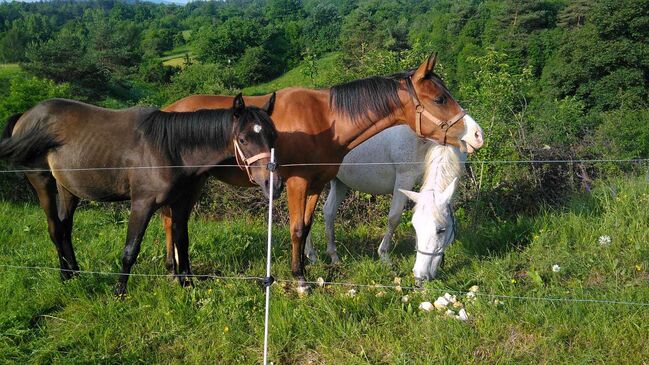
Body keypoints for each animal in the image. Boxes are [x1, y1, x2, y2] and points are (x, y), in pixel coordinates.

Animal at [304, 123, 466, 264]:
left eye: (442, 230)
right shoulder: (404, 178)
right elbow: (394, 217)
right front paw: (384, 255)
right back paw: (311, 255)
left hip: (339, 182)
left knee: (328, 211)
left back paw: (333, 257)